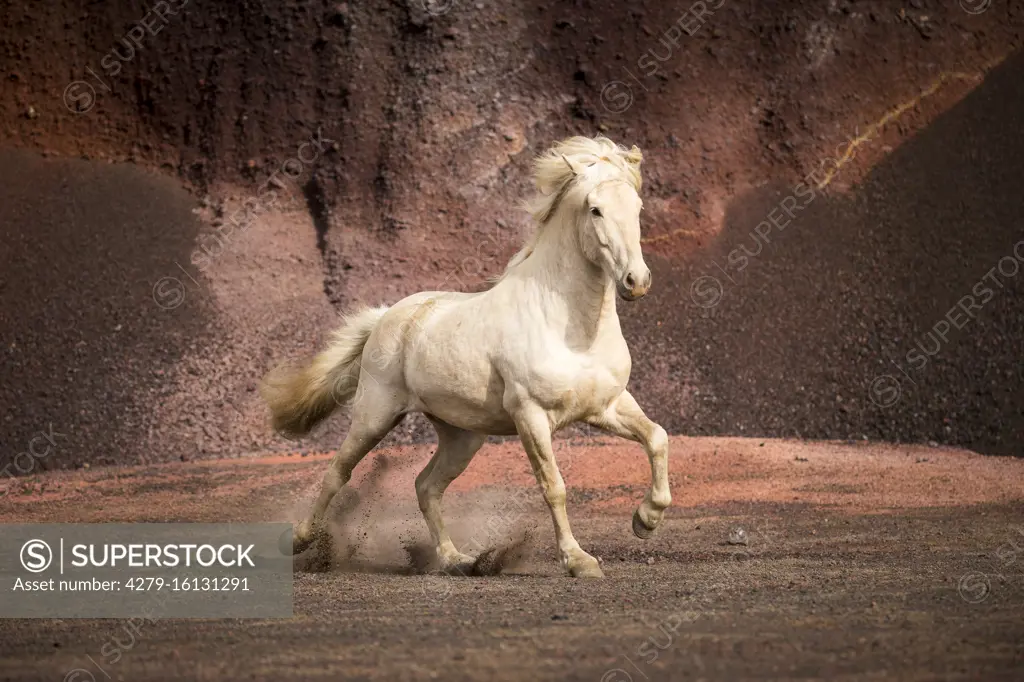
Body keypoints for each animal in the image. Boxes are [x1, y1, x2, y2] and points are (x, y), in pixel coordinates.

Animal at [260, 135, 667, 577]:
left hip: (462, 436)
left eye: (638, 207)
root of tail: (388, 315)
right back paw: (300, 541)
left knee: (426, 486)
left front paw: (646, 520)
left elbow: (657, 438)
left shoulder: (607, 406)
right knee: (338, 473)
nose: (636, 281)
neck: (573, 330)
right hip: (374, 415)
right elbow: (553, 486)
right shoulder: (531, 416)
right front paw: (579, 561)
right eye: (595, 209)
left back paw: (456, 559)